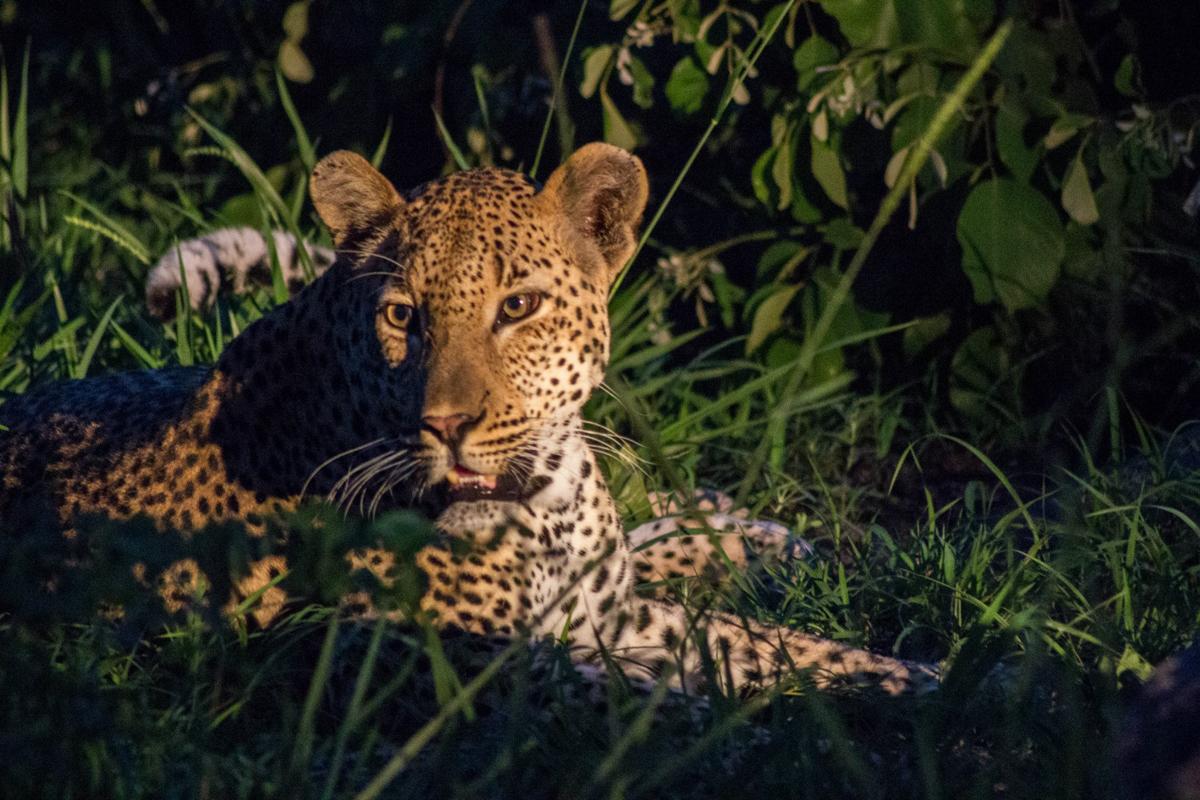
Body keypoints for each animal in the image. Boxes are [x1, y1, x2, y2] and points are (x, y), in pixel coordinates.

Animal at [0, 142, 938, 695]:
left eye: (517, 307)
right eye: (403, 316)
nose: (448, 426)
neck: (549, 507)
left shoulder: (610, 613)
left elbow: (771, 645)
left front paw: (923, 677)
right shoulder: (417, 655)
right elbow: (650, 688)